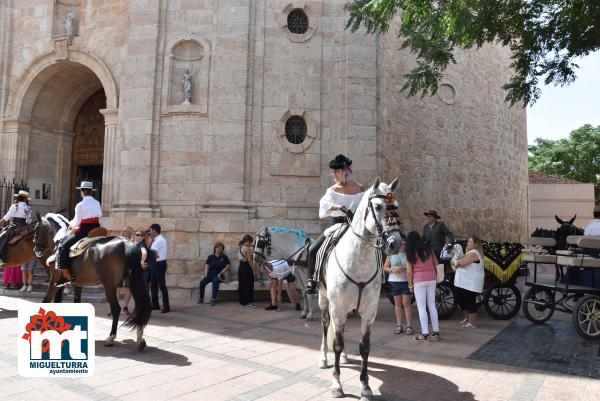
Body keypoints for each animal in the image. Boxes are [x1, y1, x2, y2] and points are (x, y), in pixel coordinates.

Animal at [34, 211, 152, 348]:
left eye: (36, 229)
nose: (36, 250)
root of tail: (125, 243)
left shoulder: (54, 280)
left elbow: (46, 300)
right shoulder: (76, 283)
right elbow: (76, 303)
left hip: (110, 285)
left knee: (116, 308)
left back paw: (111, 337)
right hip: (132, 281)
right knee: (140, 305)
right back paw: (140, 338)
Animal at [316, 178, 400, 400]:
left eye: (396, 206)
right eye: (378, 206)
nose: (395, 243)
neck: (358, 260)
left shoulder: (369, 312)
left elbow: (365, 347)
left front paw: (365, 387)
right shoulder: (337, 308)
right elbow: (336, 344)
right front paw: (337, 385)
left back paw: (345, 357)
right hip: (324, 300)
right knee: (325, 325)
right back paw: (323, 358)